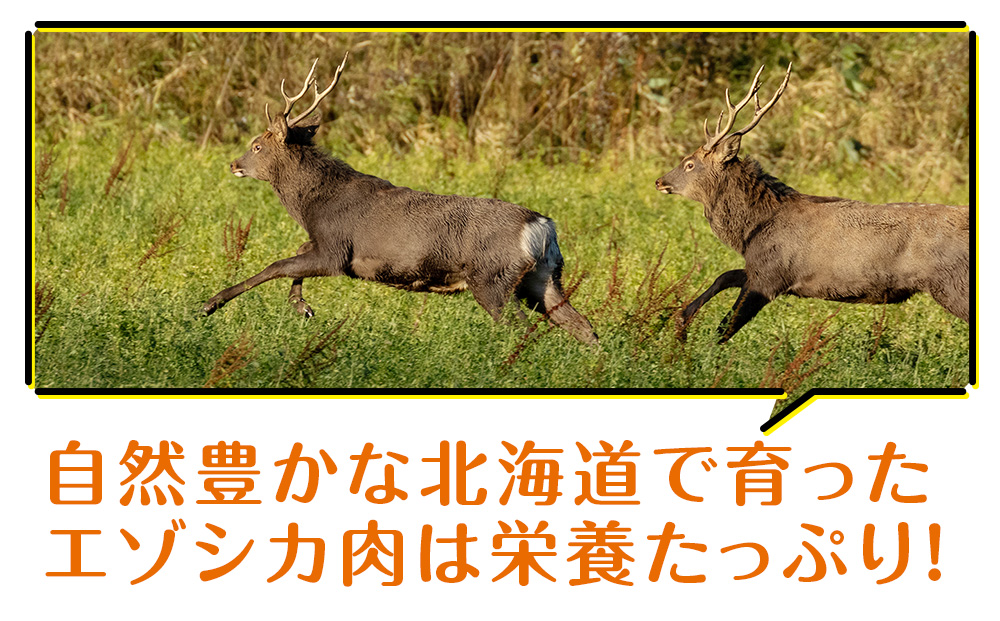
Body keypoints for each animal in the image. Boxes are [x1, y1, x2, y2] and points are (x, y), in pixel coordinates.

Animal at [203, 54, 598, 345]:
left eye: (257, 145)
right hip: (543, 276)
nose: (234, 163)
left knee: (522, 328)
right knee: (583, 326)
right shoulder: (325, 245)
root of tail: (541, 225)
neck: (313, 205)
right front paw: (302, 307)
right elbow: (295, 254)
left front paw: (211, 304)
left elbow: (277, 265)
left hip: (492, 278)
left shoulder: (336, 250)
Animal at [655, 63, 969, 343]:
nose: (659, 181)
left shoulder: (770, 276)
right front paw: (680, 324)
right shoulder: (762, 268)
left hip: (953, 283)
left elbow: (725, 327)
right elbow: (724, 276)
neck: (750, 231)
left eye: (689, 164)